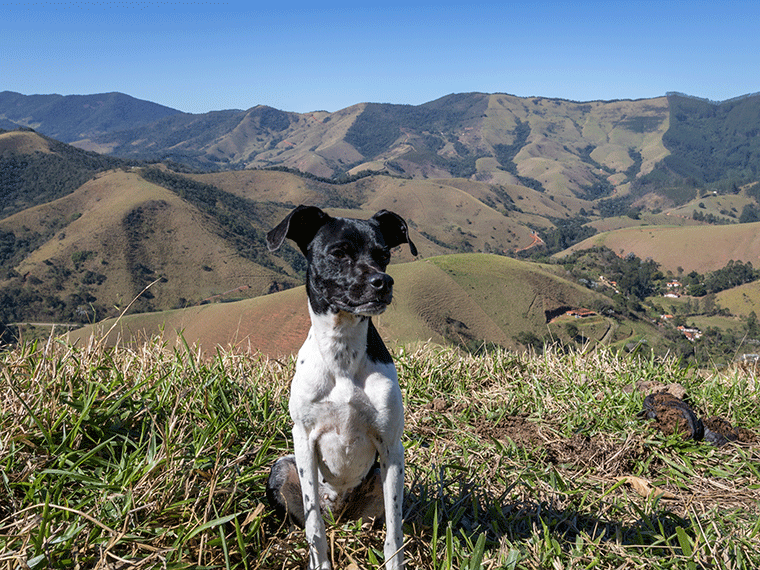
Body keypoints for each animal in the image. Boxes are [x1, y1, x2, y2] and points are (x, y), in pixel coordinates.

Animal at [262, 205, 416, 568]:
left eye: (384, 254)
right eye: (339, 253)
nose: (383, 282)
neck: (342, 353)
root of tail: (340, 512)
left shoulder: (392, 448)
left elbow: (394, 530)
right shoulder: (304, 440)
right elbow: (313, 526)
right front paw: (319, 562)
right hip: (282, 467)